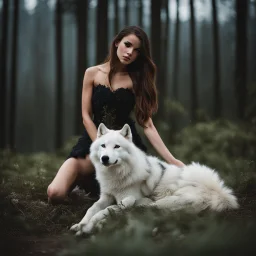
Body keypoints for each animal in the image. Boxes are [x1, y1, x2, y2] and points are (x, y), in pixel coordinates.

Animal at [70, 123, 238, 235]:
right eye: (103, 146)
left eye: (117, 146)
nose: (104, 158)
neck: (117, 176)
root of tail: (218, 193)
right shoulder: (106, 196)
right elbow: (92, 208)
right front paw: (80, 224)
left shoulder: (128, 199)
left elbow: (106, 210)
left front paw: (88, 226)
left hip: (160, 203)